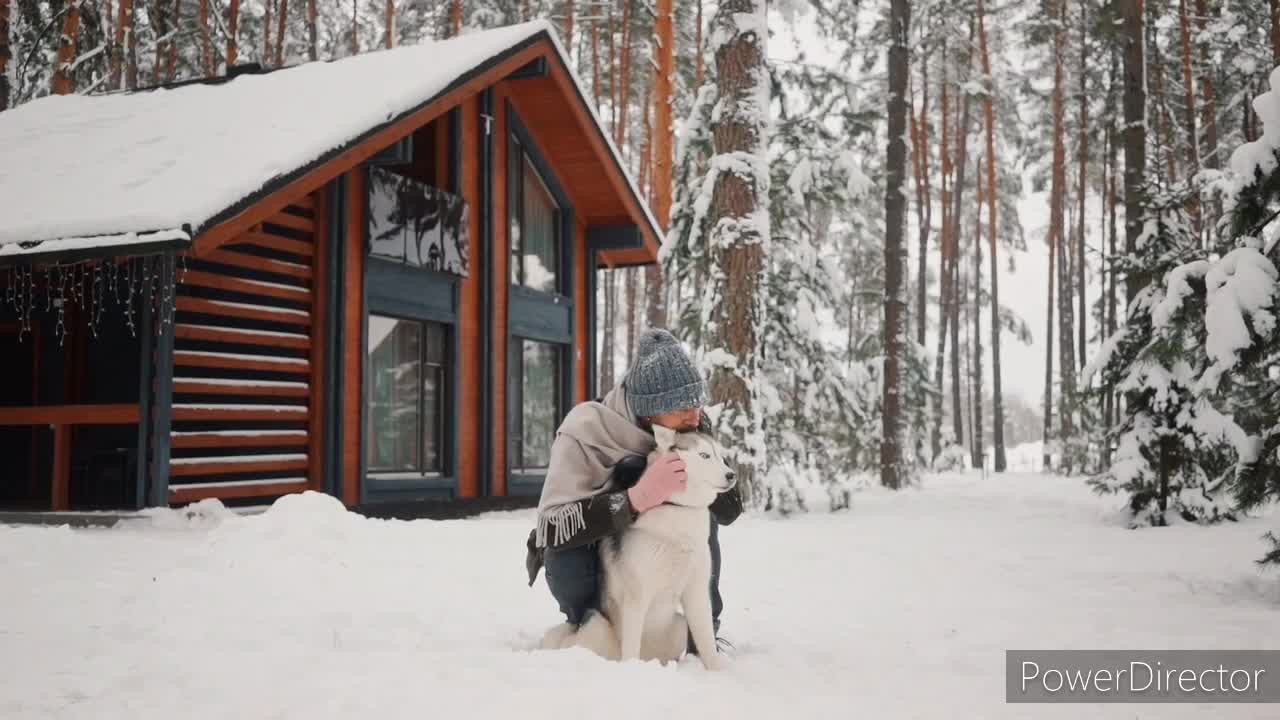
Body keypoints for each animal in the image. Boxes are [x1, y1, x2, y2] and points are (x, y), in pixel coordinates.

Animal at [540, 422, 742, 671]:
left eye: (720, 456)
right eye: (704, 455)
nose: (732, 475)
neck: (677, 508)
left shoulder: (696, 592)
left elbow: (706, 641)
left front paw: (718, 670)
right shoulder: (635, 598)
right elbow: (631, 645)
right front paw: (632, 671)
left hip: (678, 625)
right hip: (596, 625)